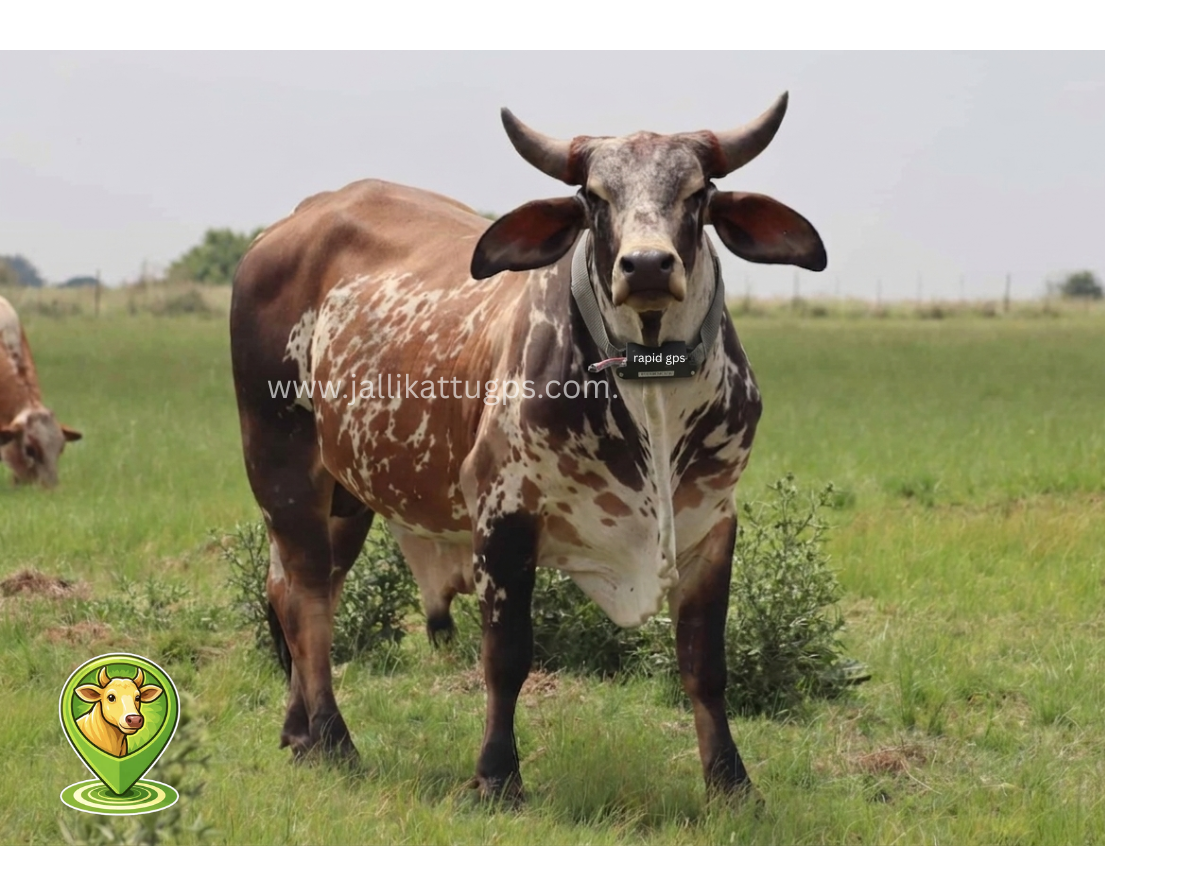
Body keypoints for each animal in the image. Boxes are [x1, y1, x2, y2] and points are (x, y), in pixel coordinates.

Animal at [230, 93, 826, 800]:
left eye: (698, 192)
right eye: (594, 196)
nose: (647, 266)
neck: (649, 391)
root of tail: (289, 225)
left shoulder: (711, 524)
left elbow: (704, 666)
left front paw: (733, 785)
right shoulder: (503, 514)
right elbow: (506, 658)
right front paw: (496, 776)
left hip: (348, 494)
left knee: (291, 590)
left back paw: (298, 733)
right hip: (283, 464)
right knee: (310, 603)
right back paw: (333, 739)